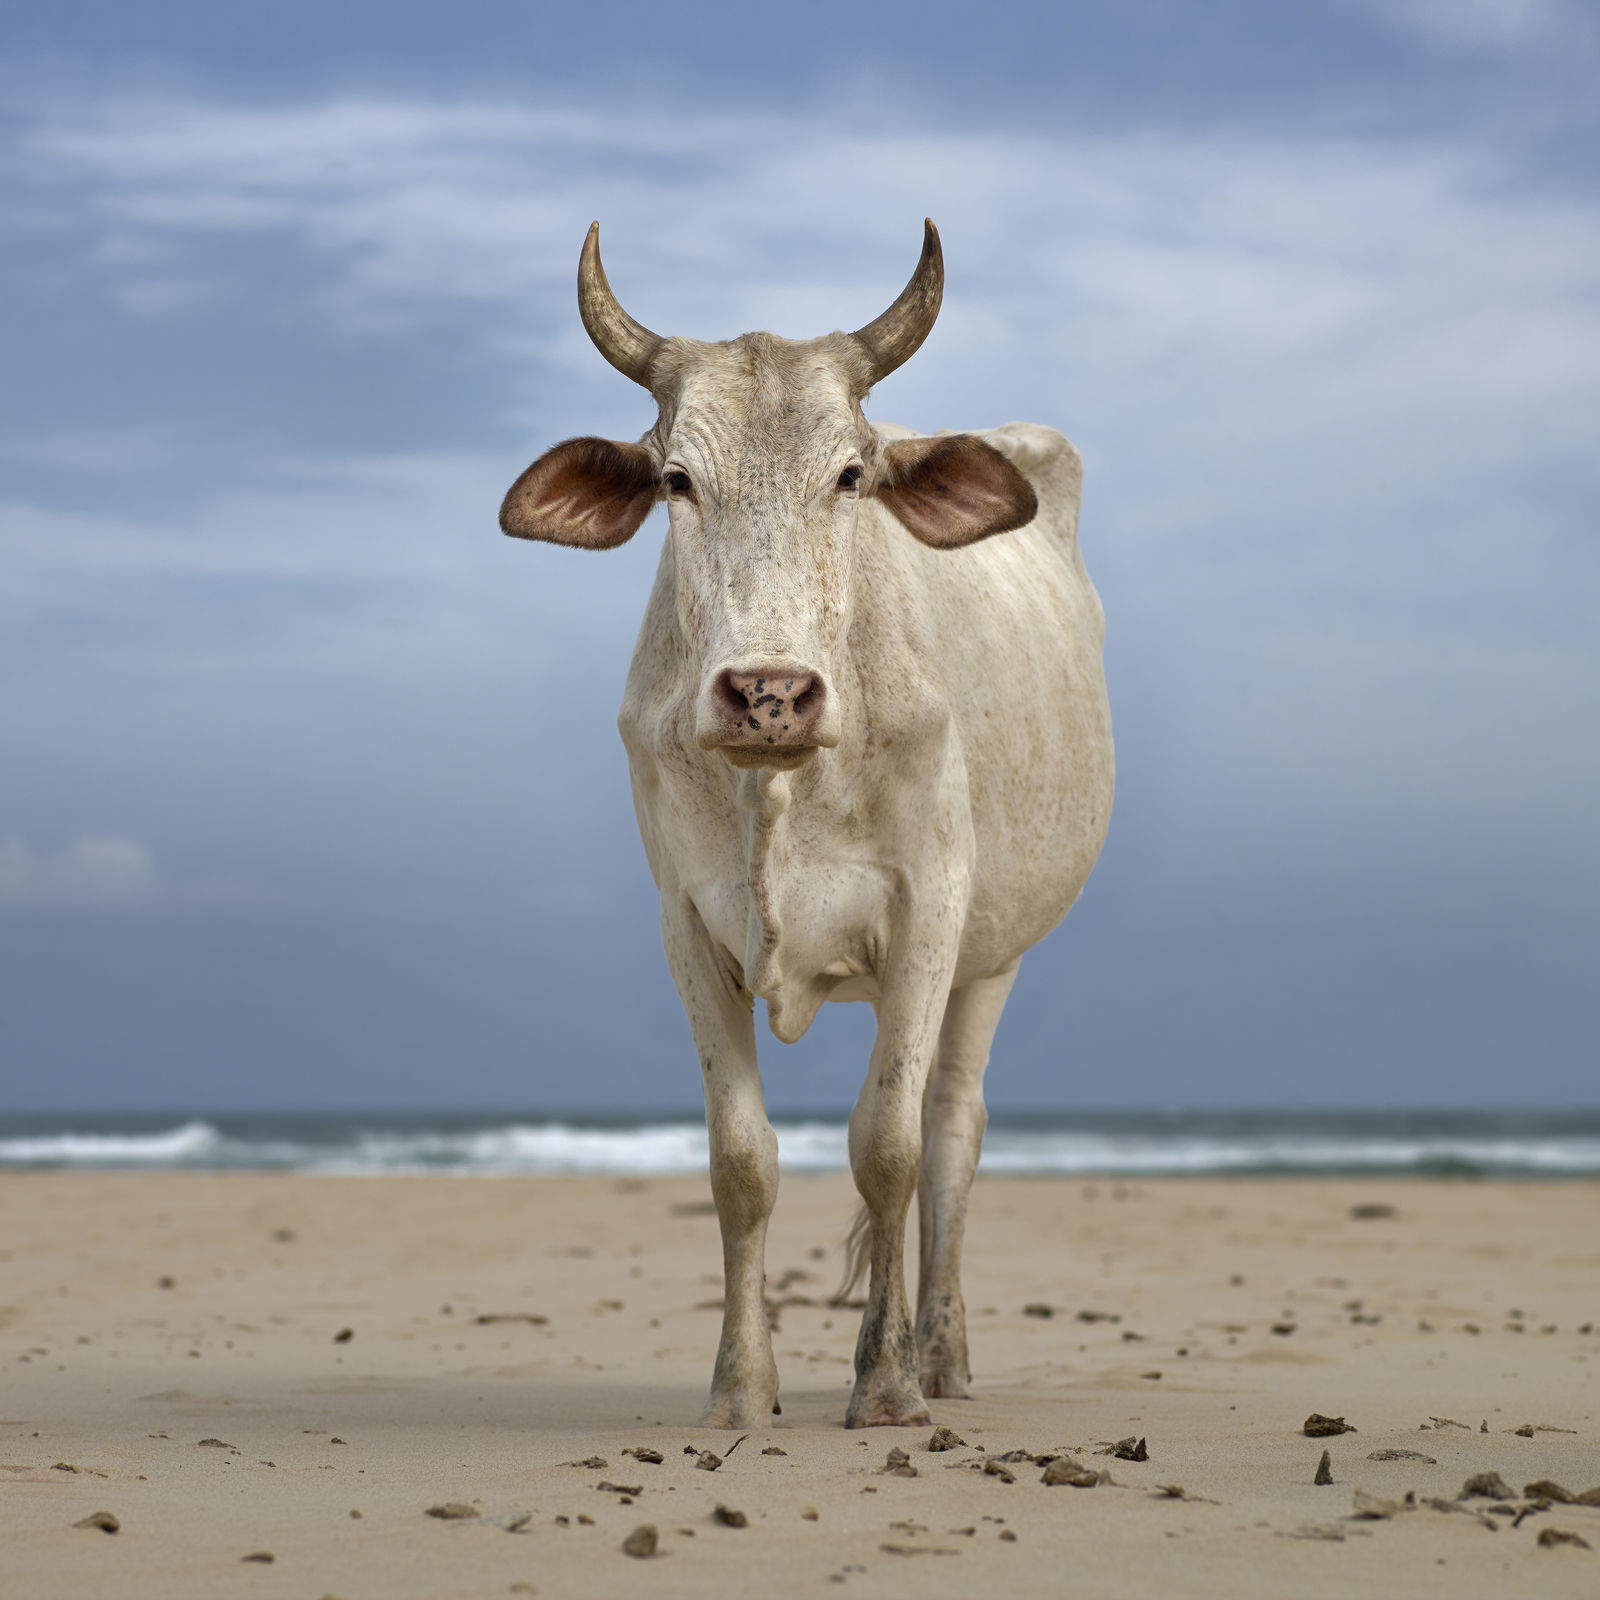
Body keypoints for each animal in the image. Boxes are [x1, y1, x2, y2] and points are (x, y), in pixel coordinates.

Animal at [500, 220, 1113, 1429]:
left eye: (849, 476)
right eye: (677, 479)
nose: (769, 693)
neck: (781, 788)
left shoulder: (932, 911)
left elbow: (887, 1148)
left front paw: (883, 1383)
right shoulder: (687, 926)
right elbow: (740, 1162)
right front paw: (741, 1389)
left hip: (995, 956)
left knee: (950, 1133)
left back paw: (940, 1357)